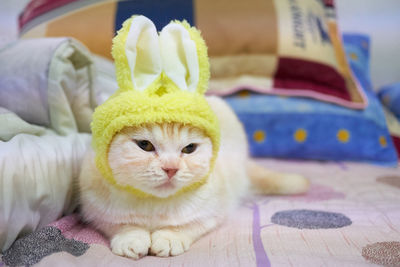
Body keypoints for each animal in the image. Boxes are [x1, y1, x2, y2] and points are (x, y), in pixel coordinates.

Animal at [79, 96, 310, 260]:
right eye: (144, 145)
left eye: (189, 149)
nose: (170, 168)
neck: (155, 206)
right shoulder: (95, 210)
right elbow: (121, 224)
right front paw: (132, 237)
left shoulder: (214, 212)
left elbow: (188, 225)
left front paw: (170, 237)